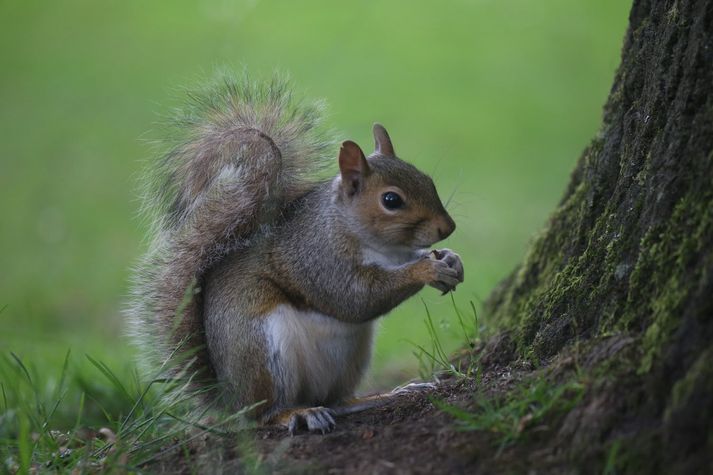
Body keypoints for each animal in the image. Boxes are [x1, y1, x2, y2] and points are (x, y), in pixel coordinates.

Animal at [126, 74, 462, 436]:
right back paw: (296, 414)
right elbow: (356, 298)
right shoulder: (319, 258)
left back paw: (383, 395)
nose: (448, 227)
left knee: (337, 401)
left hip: (352, 358)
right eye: (391, 200)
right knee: (264, 413)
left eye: (427, 179)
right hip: (263, 353)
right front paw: (425, 270)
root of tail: (230, 396)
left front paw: (450, 260)